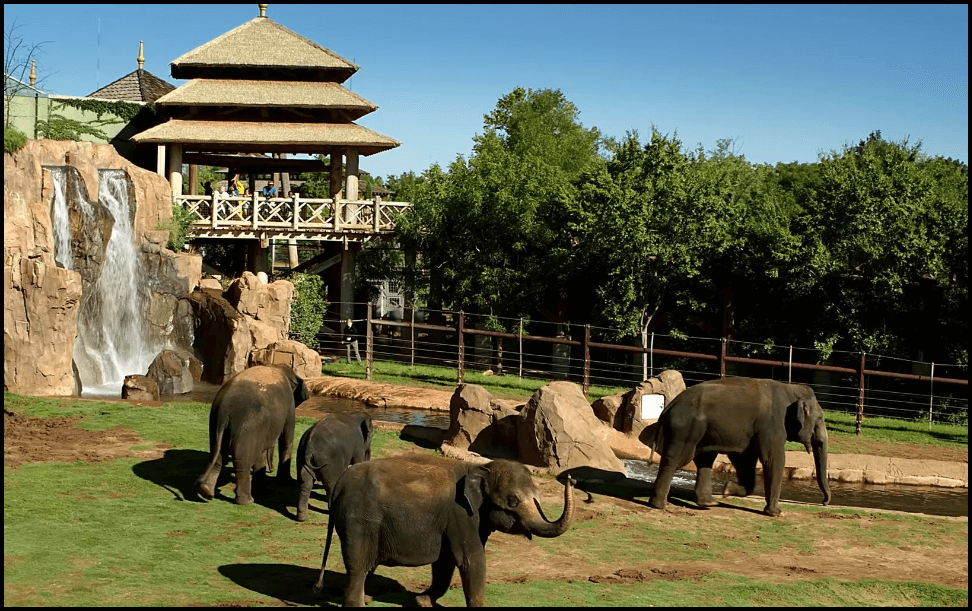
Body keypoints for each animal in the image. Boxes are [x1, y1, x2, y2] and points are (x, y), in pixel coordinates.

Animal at [195, 366, 308, 504]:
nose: (271, 469)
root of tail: (225, 409)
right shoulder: (289, 404)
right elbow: (286, 438)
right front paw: (286, 482)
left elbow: (262, 452)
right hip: (248, 426)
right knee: (242, 461)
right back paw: (246, 501)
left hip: (216, 423)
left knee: (218, 455)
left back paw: (206, 492)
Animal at [312, 454, 572, 608]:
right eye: (513, 501)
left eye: (537, 497)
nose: (571, 478)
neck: (479, 467)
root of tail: (339, 484)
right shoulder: (462, 515)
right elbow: (470, 560)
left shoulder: (452, 522)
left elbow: (445, 562)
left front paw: (422, 601)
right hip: (360, 520)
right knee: (358, 565)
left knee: (366, 565)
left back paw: (368, 597)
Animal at [644, 378, 828, 516]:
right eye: (820, 418)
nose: (824, 502)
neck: (790, 388)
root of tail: (668, 407)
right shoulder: (772, 426)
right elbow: (773, 459)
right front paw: (776, 513)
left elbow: (745, 460)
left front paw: (726, 490)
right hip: (686, 428)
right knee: (677, 459)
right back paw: (659, 505)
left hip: (702, 430)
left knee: (704, 459)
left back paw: (709, 503)